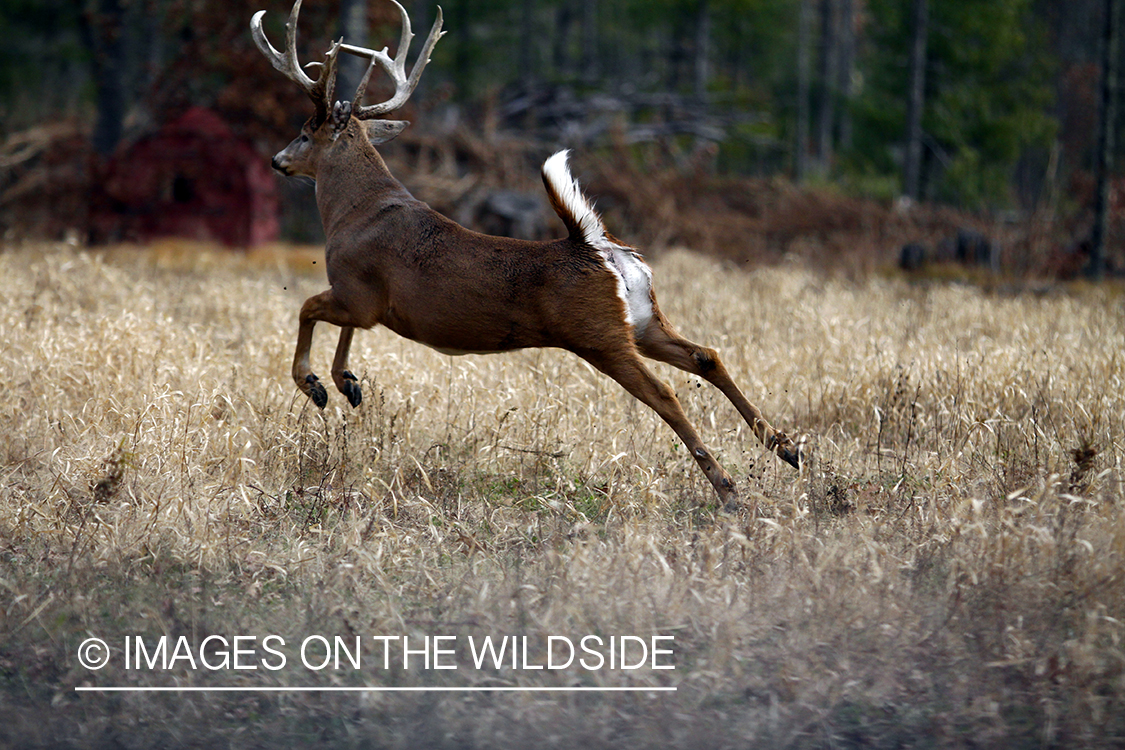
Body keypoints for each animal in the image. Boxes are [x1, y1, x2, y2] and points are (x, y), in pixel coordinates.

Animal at [252, 0, 805, 510]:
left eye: (304, 131)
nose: (277, 160)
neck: (354, 211)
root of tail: (595, 246)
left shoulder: (358, 293)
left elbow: (306, 309)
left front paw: (315, 384)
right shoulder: (363, 302)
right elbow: (339, 330)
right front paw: (347, 382)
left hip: (600, 335)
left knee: (665, 394)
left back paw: (729, 489)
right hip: (643, 321)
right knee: (707, 355)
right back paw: (785, 446)